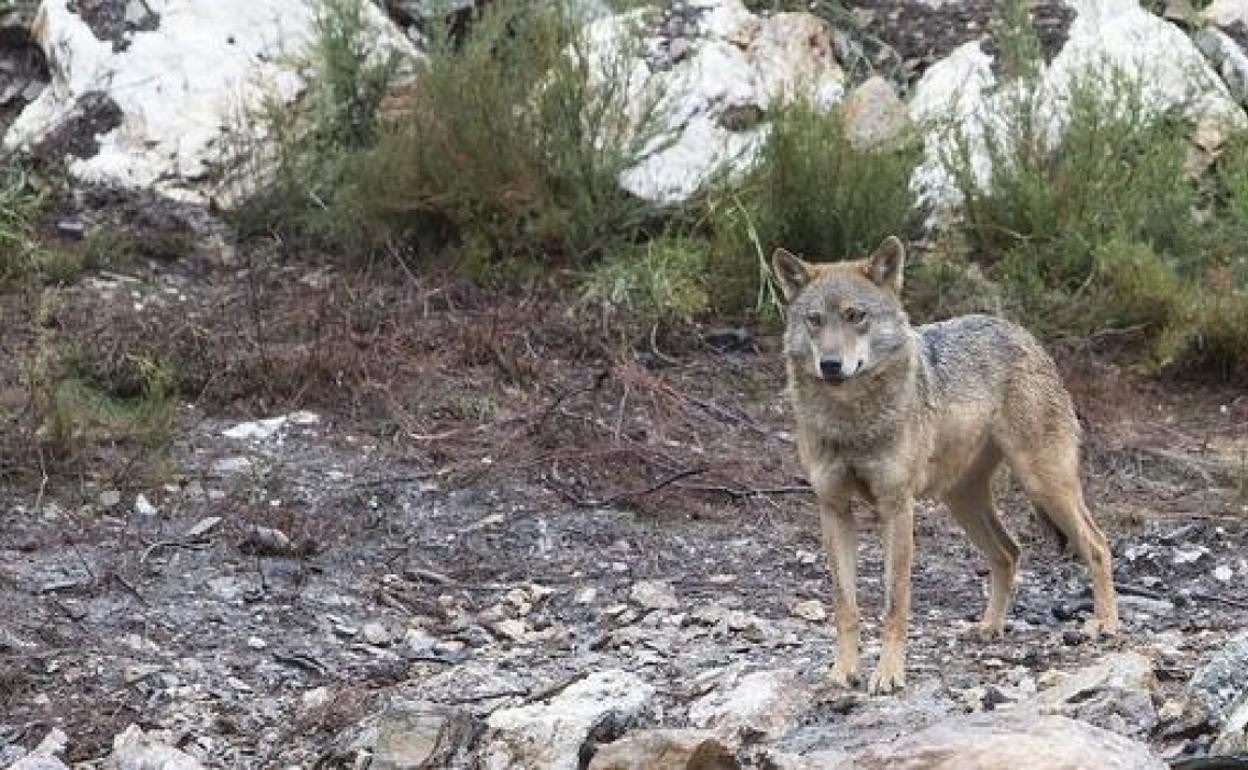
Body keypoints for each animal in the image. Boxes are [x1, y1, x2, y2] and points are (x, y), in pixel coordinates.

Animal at [768, 237, 1123, 693]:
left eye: (855, 316)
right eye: (814, 320)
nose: (830, 365)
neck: (850, 420)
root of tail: (1022, 332)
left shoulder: (897, 508)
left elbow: (894, 604)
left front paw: (888, 674)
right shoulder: (833, 509)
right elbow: (845, 605)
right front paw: (843, 671)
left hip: (1043, 484)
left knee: (1096, 544)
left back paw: (1106, 623)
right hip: (962, 502)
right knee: (1010, 552)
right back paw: (989, 627)